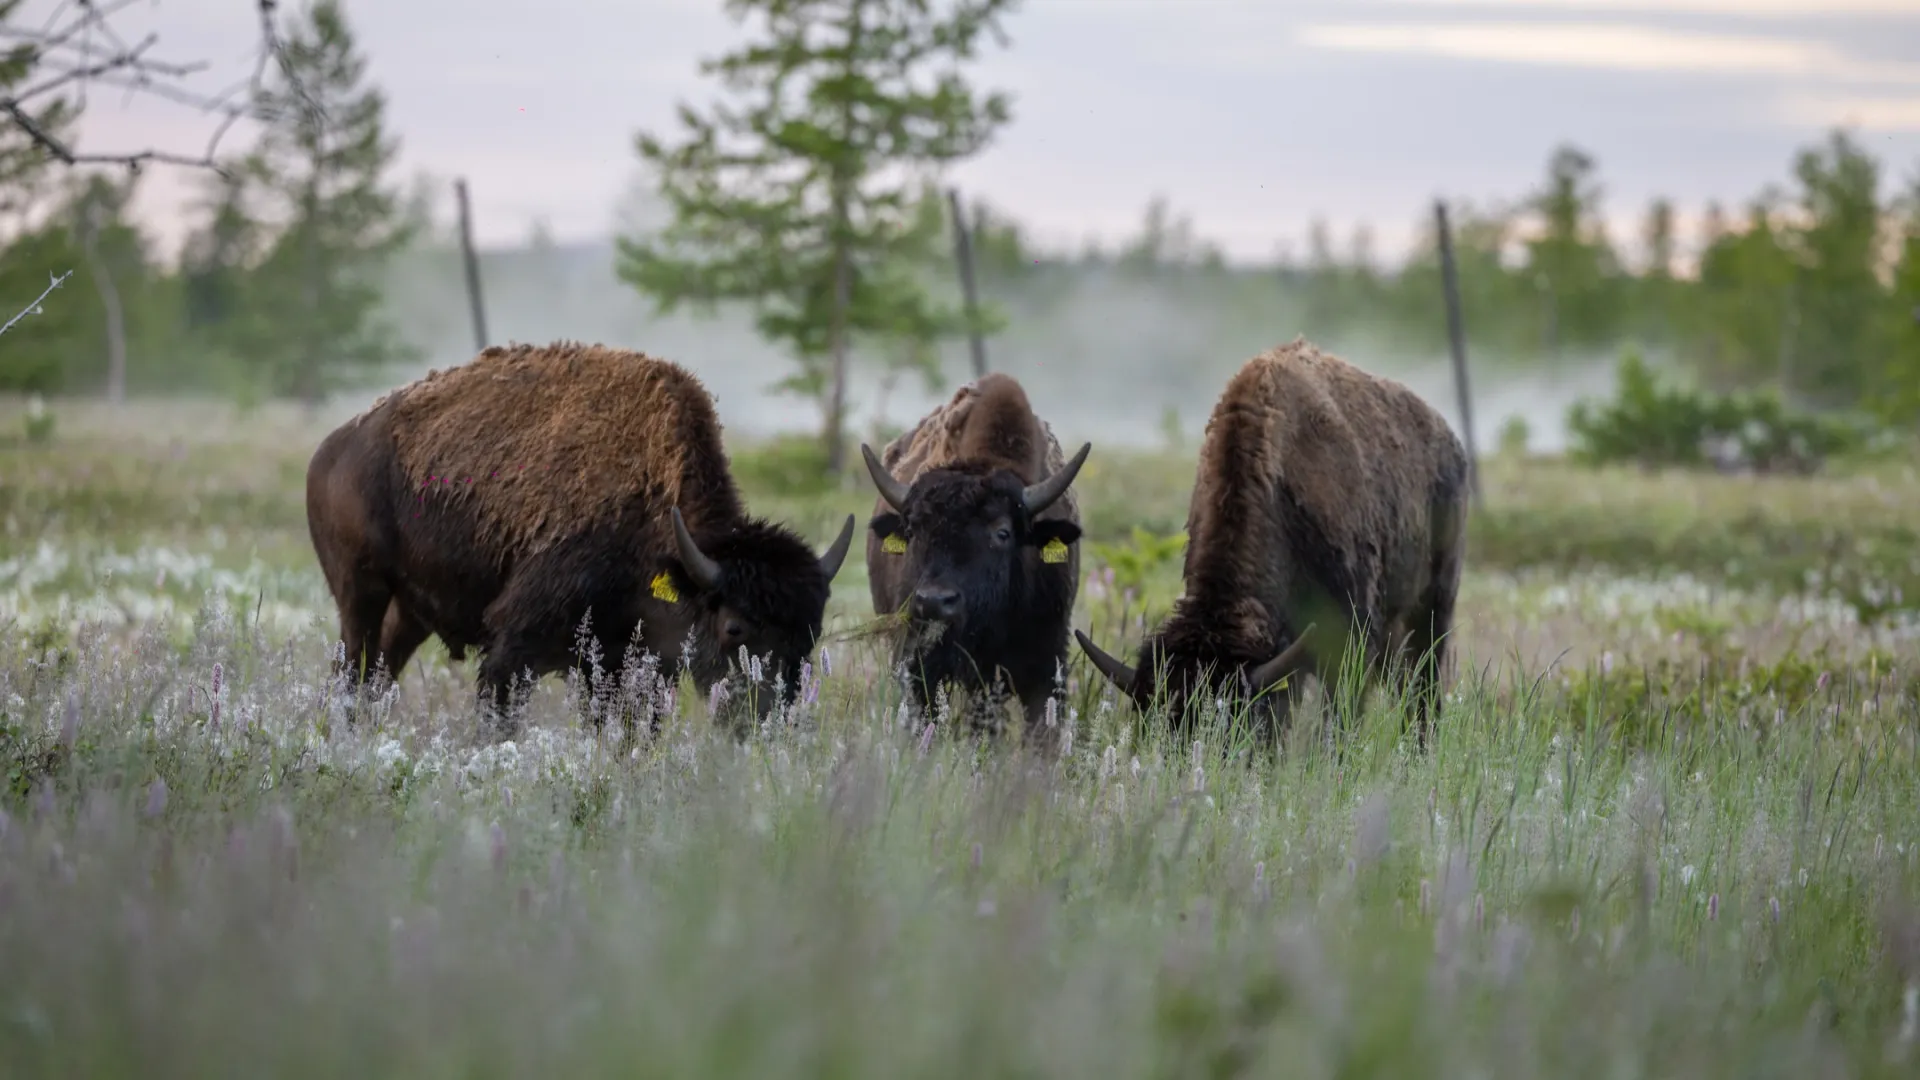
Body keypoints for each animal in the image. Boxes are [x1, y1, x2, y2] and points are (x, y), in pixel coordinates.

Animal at [301, 340, 856, 734]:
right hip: (362, 594)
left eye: (811, 635)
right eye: (735, 628)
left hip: (409, 612)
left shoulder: (628, 666)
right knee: (354, 670)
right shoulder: (513, 646)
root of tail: (329, 451)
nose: (768, 723)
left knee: (378, 675)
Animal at [1075, 336, 1459, 749]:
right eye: (1150, 722)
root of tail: (1452, 443)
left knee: (1423, 694)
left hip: (1431, 615)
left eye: (1237, 720)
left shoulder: (1350, 641)